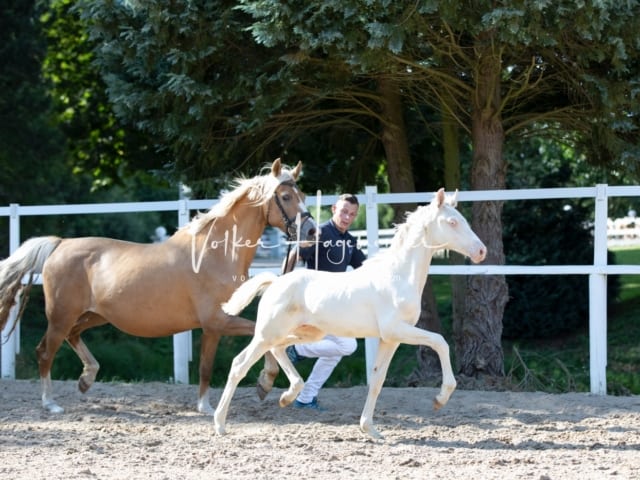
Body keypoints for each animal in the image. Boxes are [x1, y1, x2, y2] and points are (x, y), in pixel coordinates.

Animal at [0, 159, 318, 414]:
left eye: (303, 195)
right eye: (286, 196)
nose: (312, 231)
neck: (216, 254)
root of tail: (60, 244)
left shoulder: (217, 325)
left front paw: (265, 385)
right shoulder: (216, 323)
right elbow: (206, 367)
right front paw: (208, 406)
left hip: (95, 315)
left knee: (72, 336)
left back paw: (86, 378)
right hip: (61, 315)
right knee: (45, 351)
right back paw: (50, 403)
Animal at [214, 188, 484, 438]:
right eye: (452, 222)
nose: (481, 251)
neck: (398, 276)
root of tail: (275, 281)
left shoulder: (391, 339)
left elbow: (377, 380)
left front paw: (369, 429)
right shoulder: (396, 330)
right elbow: (440, 342)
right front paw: (440, 398)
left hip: (305, 332)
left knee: (279, 349)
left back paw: (287, 396)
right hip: (267, 333)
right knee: (239, 365)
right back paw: (220, 423)